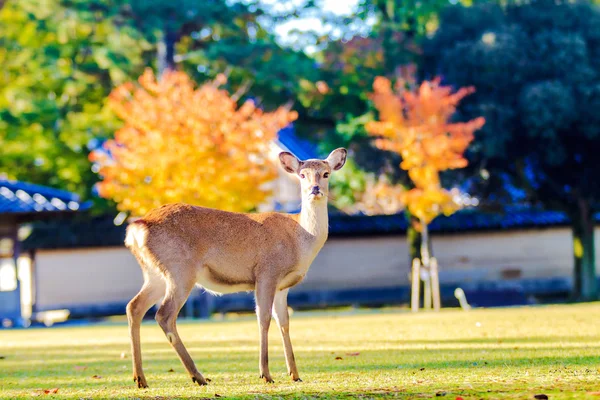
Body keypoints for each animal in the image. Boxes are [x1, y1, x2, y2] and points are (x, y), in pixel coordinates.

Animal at [123, 147, 346, 388]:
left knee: (134, 307)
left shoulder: (283, 286)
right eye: (302, 175)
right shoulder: (266, 272)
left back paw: (140, 378)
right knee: (164, 314)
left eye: (326, 174)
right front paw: (266, 374)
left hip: (155, 274)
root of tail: (137, 229)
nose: (315, 189)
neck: (301, 239)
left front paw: (294, 374)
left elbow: (284, 322)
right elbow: (263, 319)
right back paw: (197, 376)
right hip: (180, 269)